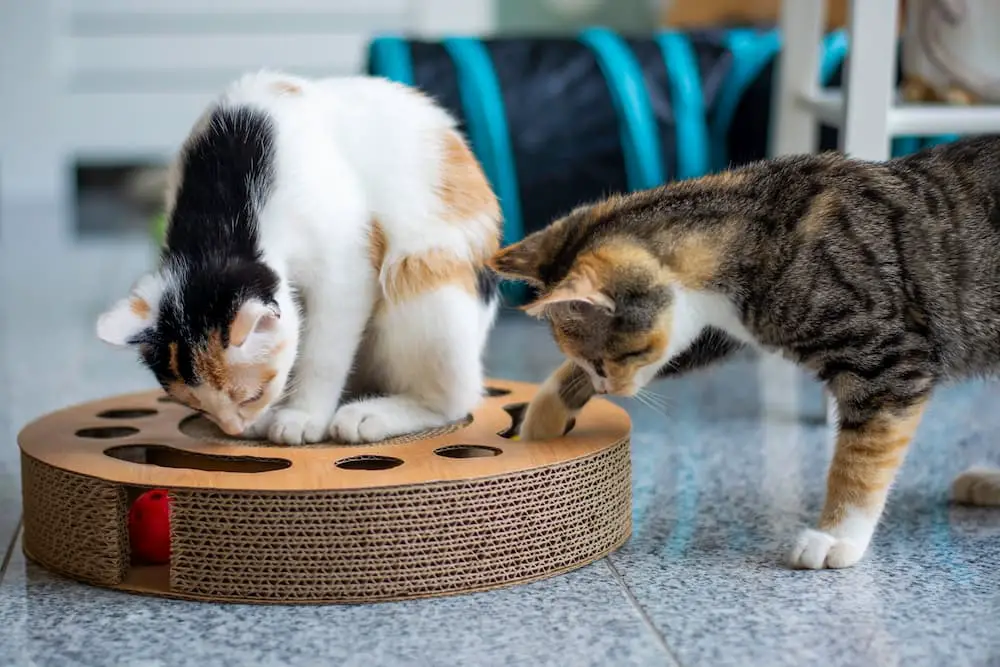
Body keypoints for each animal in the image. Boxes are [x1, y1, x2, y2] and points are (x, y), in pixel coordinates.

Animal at [488, 136, 1000, 568]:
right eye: (592, 365)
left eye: (605, 361)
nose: (607, 385)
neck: (760, 224)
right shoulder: (714, 325)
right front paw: (542, 418)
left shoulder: (888, 363)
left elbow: (862, 458)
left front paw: (837, 536)